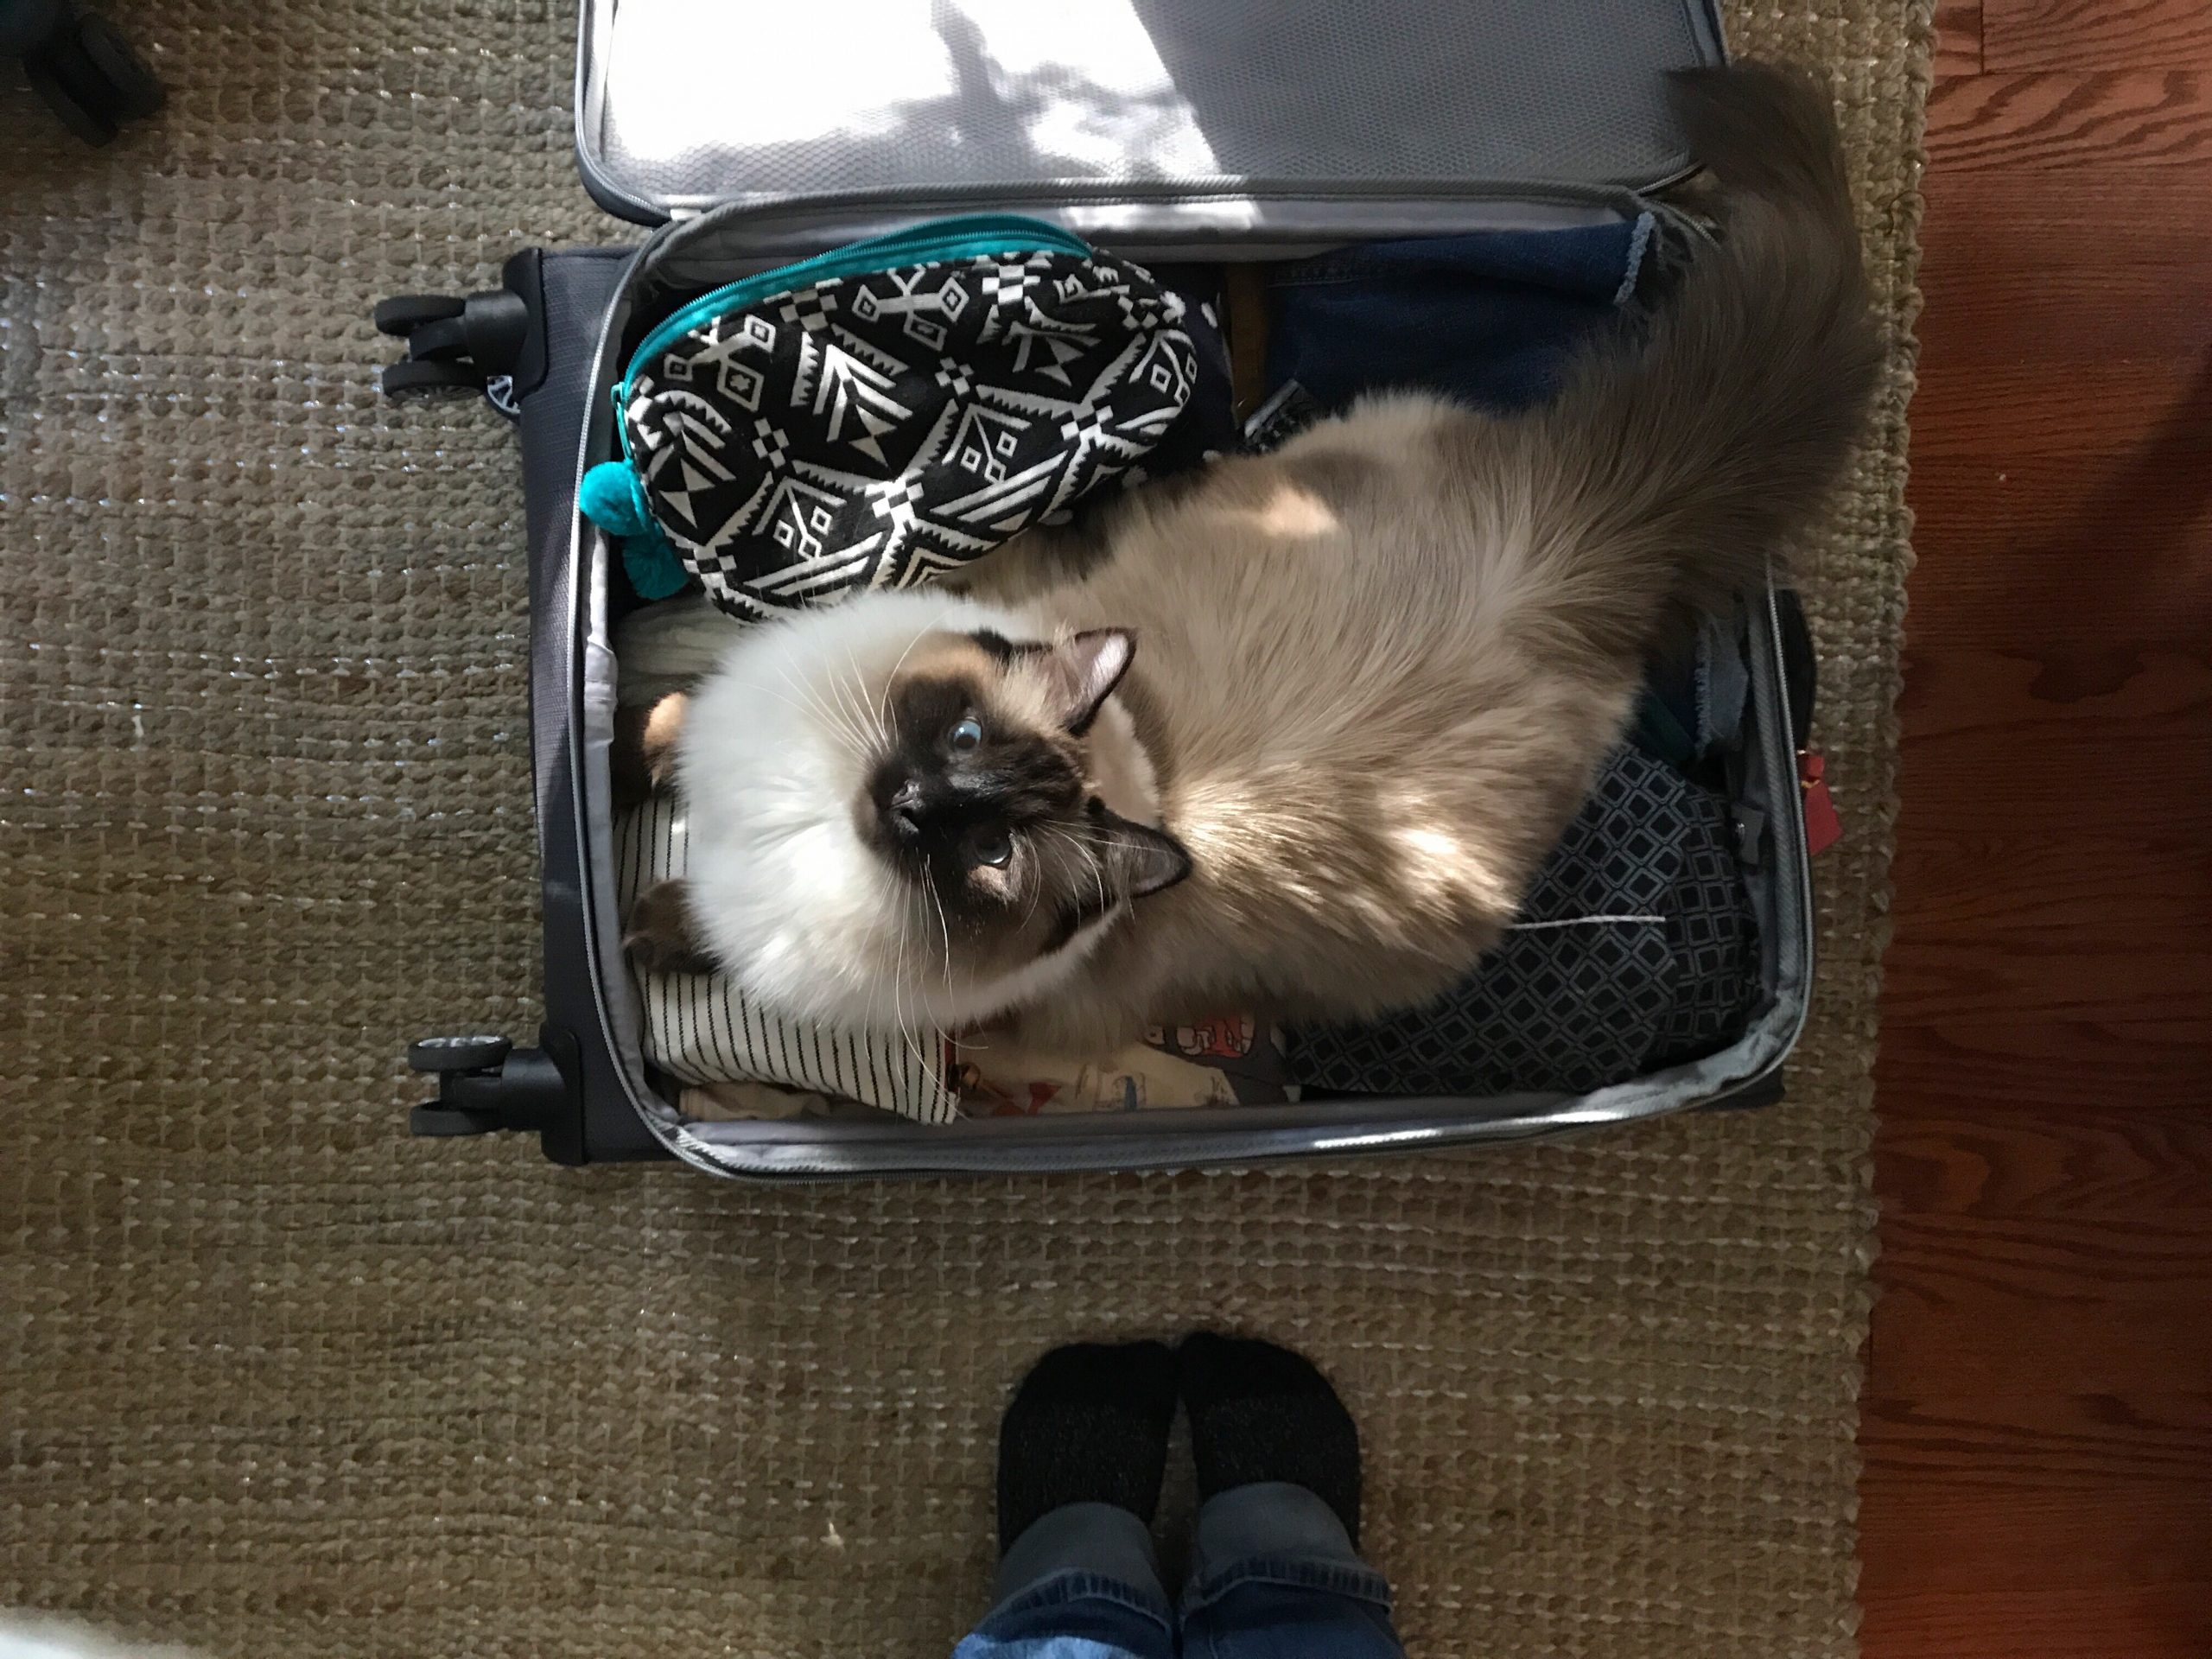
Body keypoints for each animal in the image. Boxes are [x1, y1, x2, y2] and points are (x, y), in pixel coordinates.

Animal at [628, 65, 1885, 1057]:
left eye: (988, 855)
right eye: (967, 738)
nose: (912, 800)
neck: (809, 818)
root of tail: (1576, 543)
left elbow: (702, 925)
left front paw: (652, 924)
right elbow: (684, 719)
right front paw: (652, 748)